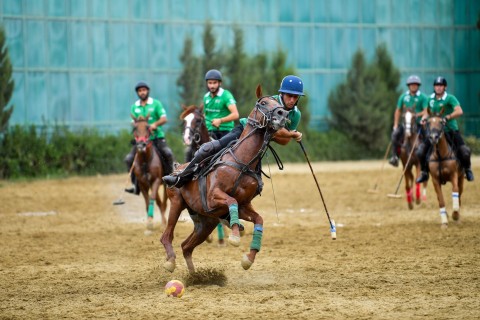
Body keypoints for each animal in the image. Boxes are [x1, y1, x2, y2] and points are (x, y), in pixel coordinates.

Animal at [161, 86, 290, 274]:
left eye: (278, 103)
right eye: (264, 103)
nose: (282, 113)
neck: (243, 162)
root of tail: (177, 167)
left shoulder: (243, 205)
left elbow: (258, 219)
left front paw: (248, 259)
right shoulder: (212, 197)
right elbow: (231, 200)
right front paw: (235, 236)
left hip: (207, 222)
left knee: (186, 246)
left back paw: (194, 276)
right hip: (177, 203)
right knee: (167, 236)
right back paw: (170, 261)